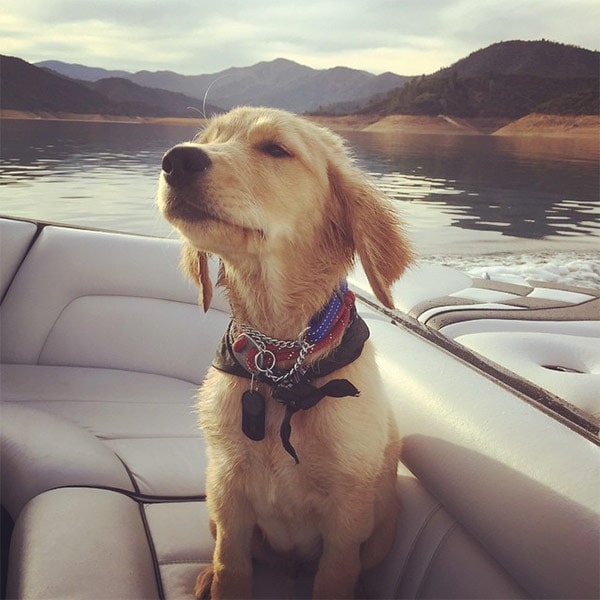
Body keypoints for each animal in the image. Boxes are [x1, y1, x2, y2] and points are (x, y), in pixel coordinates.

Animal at [158, 105, 412, 596]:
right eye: (207, 139)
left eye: (276, 149)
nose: (176, 160)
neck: (282, 368)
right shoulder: (228, 496)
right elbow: (231, 566)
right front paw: (218, 581)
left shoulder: (348, 520)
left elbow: (335, 577)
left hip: (384, 527)